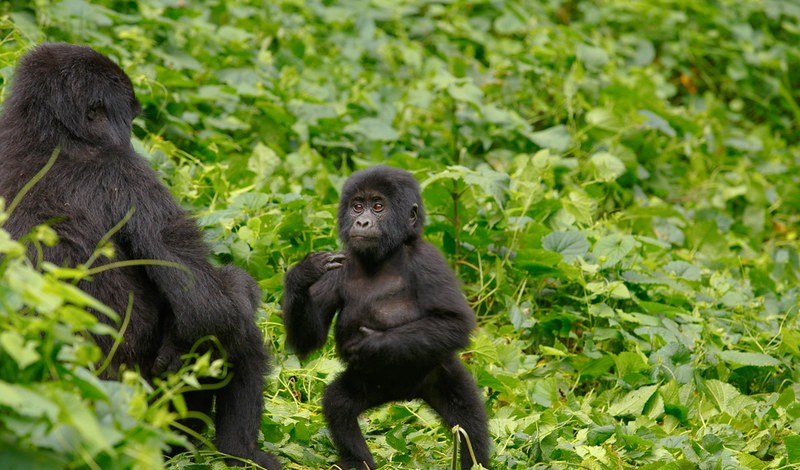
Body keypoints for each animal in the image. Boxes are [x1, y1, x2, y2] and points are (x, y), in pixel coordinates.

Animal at [0, 44, 282, 470]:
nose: (132, 139)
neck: (48, 132)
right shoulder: (128, 175)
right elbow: (212, 308)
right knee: (237, 329)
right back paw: (241, 451)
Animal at [284, 166, 490, 470]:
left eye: (378, 207)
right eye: (357, 206)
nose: (363, 221)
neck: (386, 255)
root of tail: (405, 395)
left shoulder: (427, 259)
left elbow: (453, 322)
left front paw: (374, 344)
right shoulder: (340, 263)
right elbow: (308, 339)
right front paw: (302, 274)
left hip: (438, 371)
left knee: (469, 420)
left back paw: (476, 461)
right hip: (372, 385)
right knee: (338, 404)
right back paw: (358, 461)